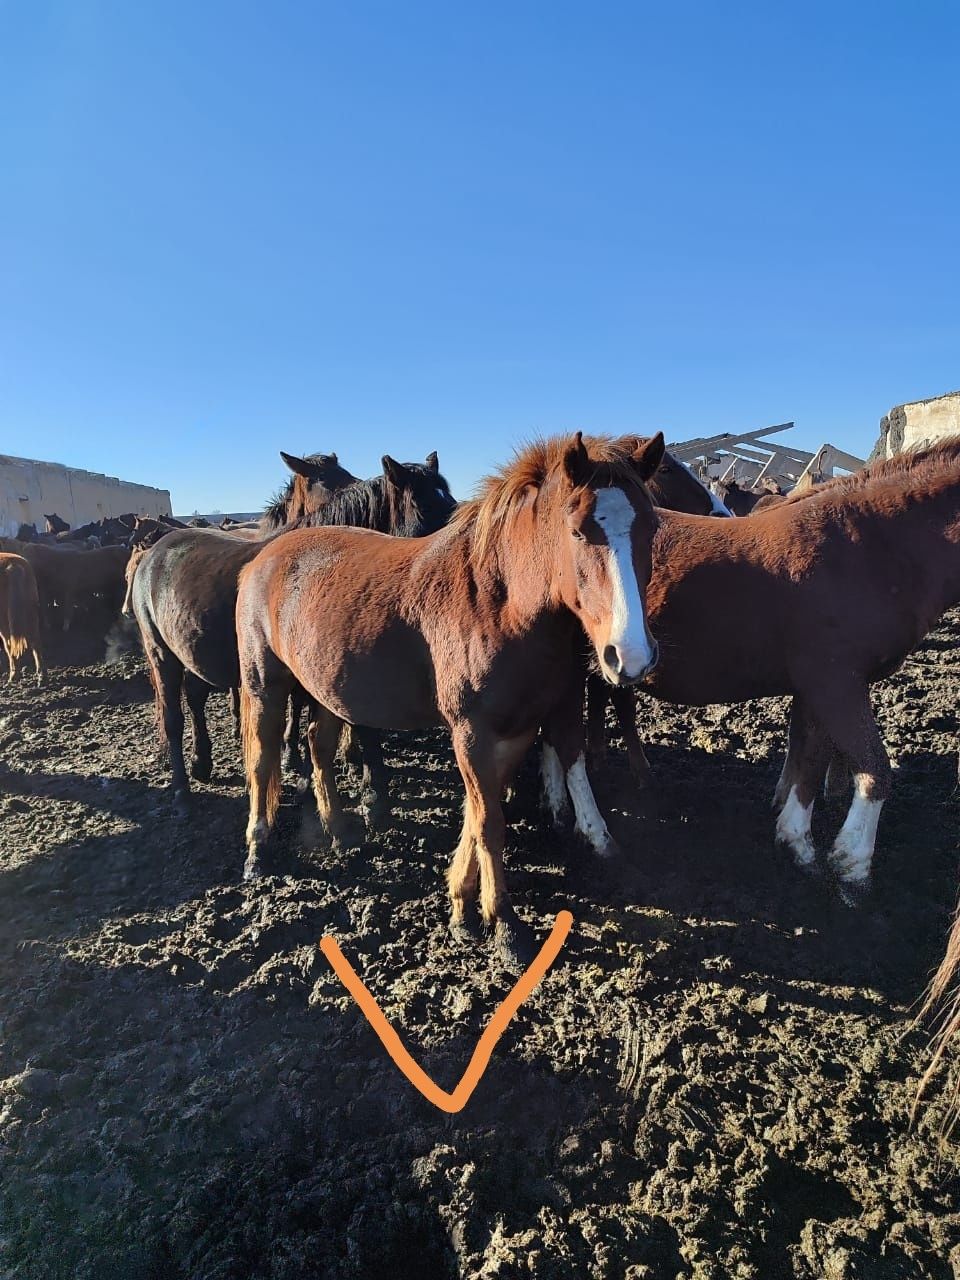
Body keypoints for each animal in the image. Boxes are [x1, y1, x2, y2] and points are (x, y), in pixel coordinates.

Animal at [236, 427, 665, 962]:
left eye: (652, 527)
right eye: (579, 531)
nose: (630, 655)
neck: (499, 602)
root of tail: (264, 557)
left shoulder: (523, 725)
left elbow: (482, 809)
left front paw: (462, 904)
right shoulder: (471, 731)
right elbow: (489, 823)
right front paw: (504, 926)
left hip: (324, 688)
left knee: (319, 746)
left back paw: (337, 831)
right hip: (264, 683)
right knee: (263, 762)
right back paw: (257, 853)